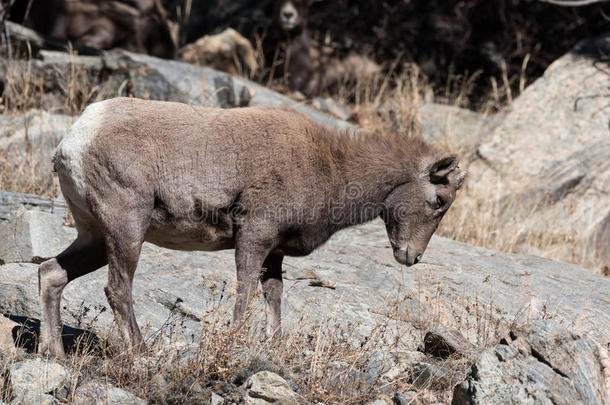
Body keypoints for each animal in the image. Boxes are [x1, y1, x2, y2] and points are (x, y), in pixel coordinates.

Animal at [38, 98, 464, 356]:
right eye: (439, 201)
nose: (411, 257)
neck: (331, 168)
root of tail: (73, 142)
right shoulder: (254, 236)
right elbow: (244, 294)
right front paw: (234, 341)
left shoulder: (273, 253)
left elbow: (273, 297)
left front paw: (274, 347)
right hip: (127, 230)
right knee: (117, 289)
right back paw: (142, 353)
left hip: (95, 237)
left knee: (51, 273)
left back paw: (55, 354)